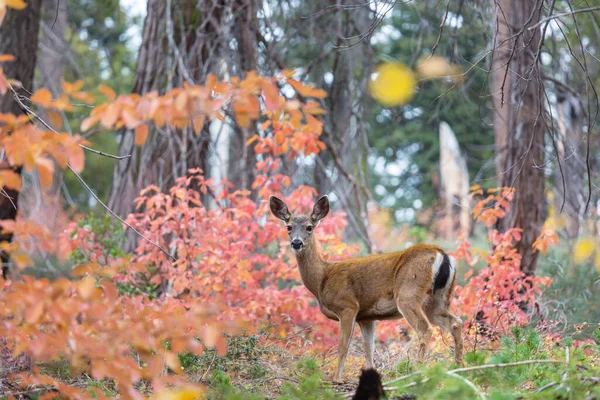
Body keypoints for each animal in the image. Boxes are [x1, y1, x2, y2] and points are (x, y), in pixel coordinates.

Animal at [270, 194, 464, 382]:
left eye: (309, 227)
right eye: (288, 227)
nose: (296, 243)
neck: (322, 279)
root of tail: (442, 254)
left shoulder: (348, 306)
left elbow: (343, 346)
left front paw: (337, 379)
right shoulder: (367, 317)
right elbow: (368, 349)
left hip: (408, 293)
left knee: (425, 329)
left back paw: (418, 372)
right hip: (437, 300)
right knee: (455, 322)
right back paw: (460, 367)